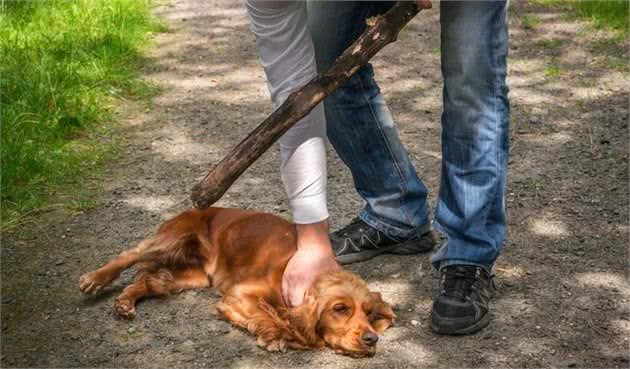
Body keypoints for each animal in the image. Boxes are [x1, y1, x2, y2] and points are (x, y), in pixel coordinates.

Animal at [79, 207, 396, 354]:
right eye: (340, 309)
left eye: (369, 313)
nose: (372, 339)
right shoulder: (240, 293)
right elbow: (266, 313)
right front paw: (276, 334)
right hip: (171, 239)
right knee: (130, 254)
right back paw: (94, 279)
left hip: (193, 276)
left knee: (150, 281)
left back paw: (124, 302)